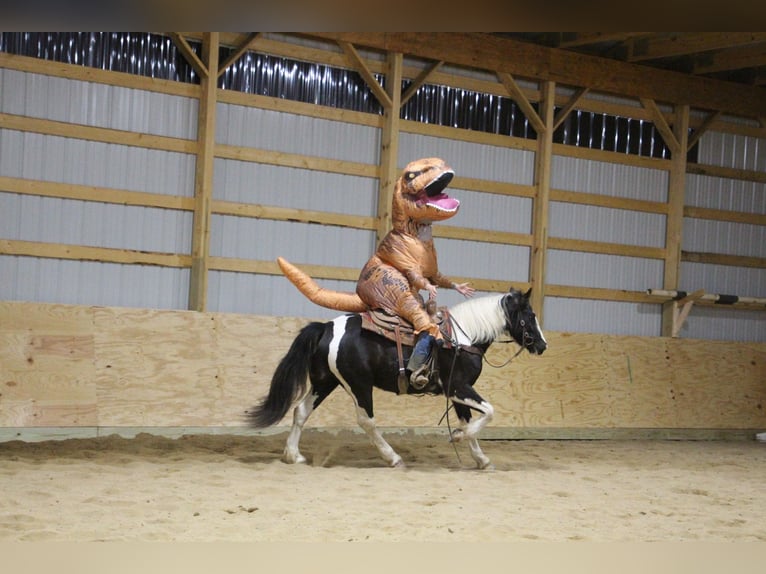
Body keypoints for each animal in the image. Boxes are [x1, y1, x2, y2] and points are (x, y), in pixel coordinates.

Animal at [249, 290, 548, 470]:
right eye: (530, 316)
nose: (543, 346)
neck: (464, 337)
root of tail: (326, 328)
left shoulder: (458, 393)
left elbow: (470, 420)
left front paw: (481, 459)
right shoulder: (458, 387)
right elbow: (488, 412)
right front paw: (459, 437)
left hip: (325, 382)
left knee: (301, 411)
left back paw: (293, 455)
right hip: (358, 385)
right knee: (366, 421)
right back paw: (393, 457)